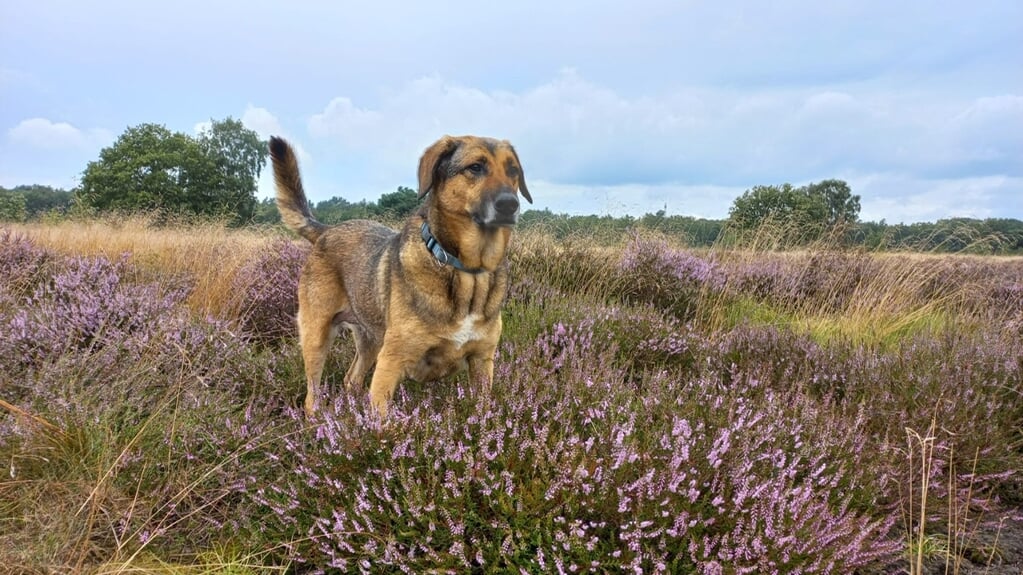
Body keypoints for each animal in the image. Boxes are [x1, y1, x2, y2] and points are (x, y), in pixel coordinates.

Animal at [268, 133, 531, 415]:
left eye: (513, 171)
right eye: (475, 167)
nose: (510, 204)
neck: (466, 271)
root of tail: (327, 230)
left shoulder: (482, 362)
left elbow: (482, 411)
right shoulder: (391, 362)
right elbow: (381, 418)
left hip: (370, 341)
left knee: (351, 379)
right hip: (317, 336)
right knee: (312, 394)